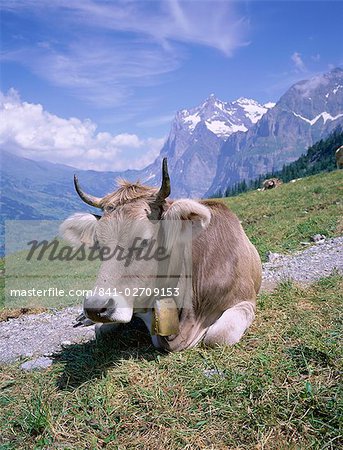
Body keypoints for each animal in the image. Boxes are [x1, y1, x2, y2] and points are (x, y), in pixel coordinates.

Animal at [60, 158, 262, 352]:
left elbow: (218, 336)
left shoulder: (244, 301)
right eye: (99, 245)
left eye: (144, 241)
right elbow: (102, 329)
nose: (95, 307)